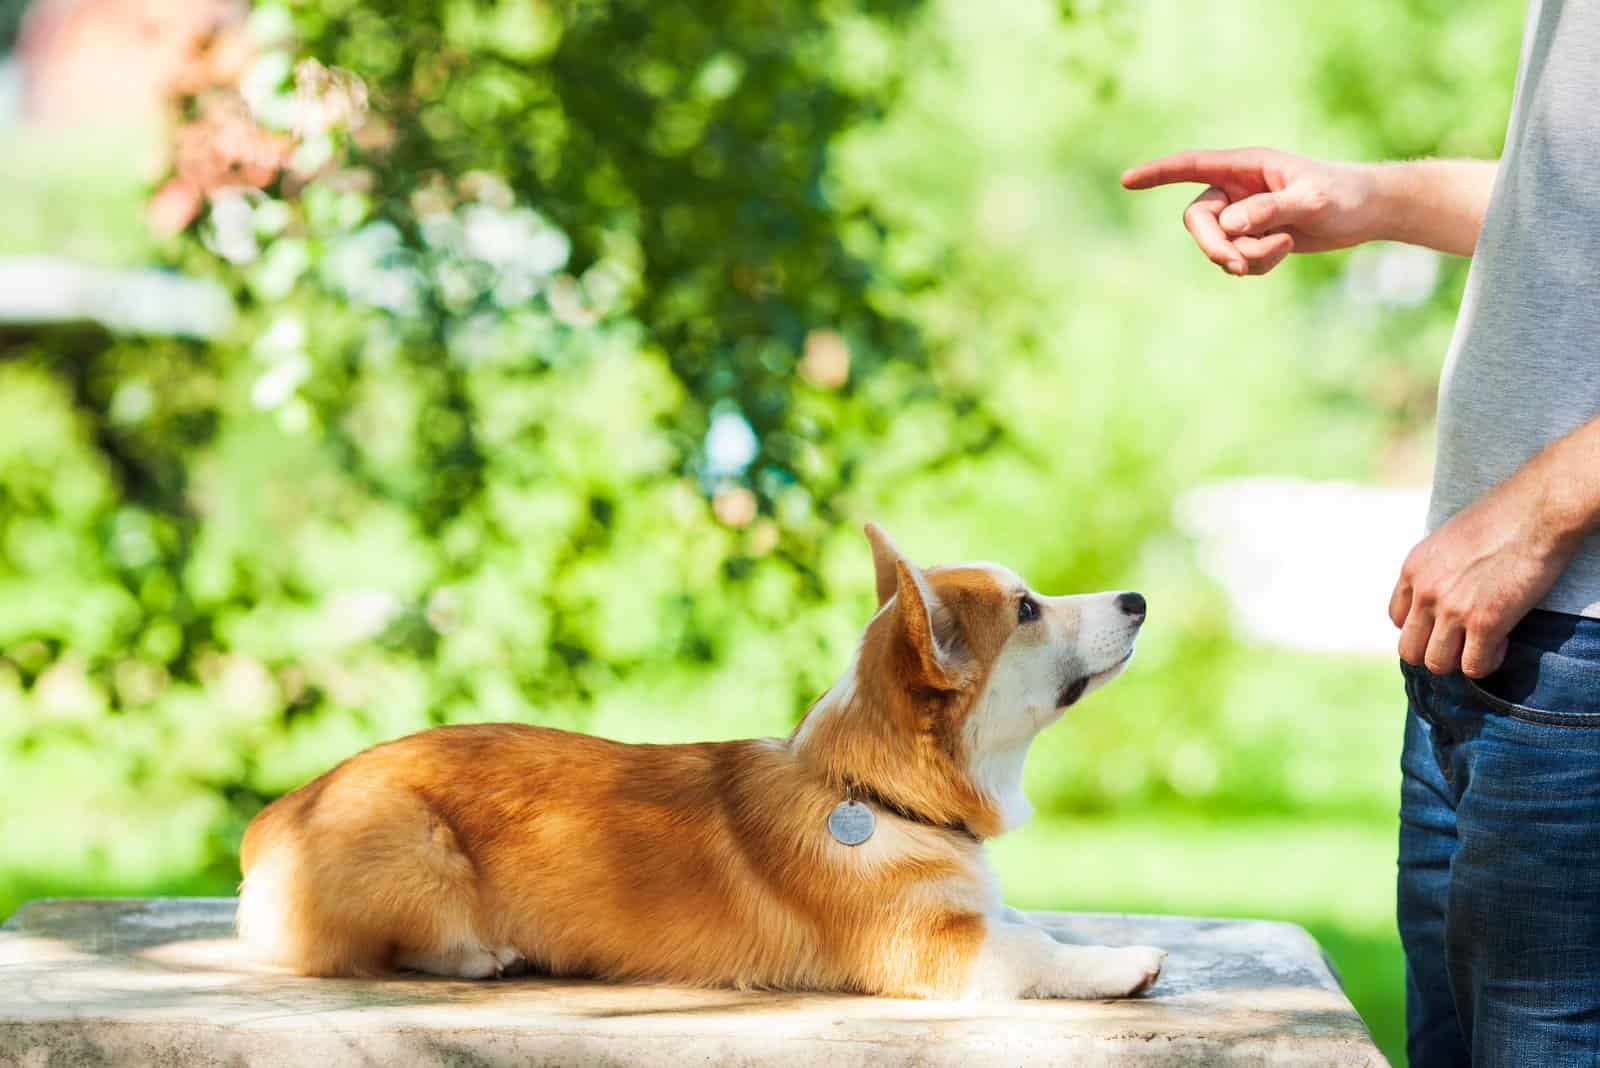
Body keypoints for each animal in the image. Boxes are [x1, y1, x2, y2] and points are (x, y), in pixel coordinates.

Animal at [236, 524, 1164, 1004]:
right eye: (1028, 610)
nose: (1139, 600)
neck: (876, 792)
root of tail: (280, 814)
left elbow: (1031, 924)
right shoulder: (935, 949)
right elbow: (1035, 953)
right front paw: (1122, 964)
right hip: (416, 854)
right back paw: (480, 955)